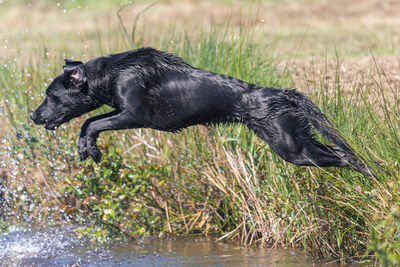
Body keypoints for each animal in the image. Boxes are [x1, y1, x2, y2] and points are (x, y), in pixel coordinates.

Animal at [29, 48, 374, 177]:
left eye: (51, 95)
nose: (34, 116)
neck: (112, 73)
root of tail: (279, 94)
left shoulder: (135, 115)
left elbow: (91, 122)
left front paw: (90, 149)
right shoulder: (122, 112)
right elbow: (90, 120)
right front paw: (86, 149)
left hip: (293, 148)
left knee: (345, 157)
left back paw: (374, 178)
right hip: (296, 140)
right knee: (342, 152)